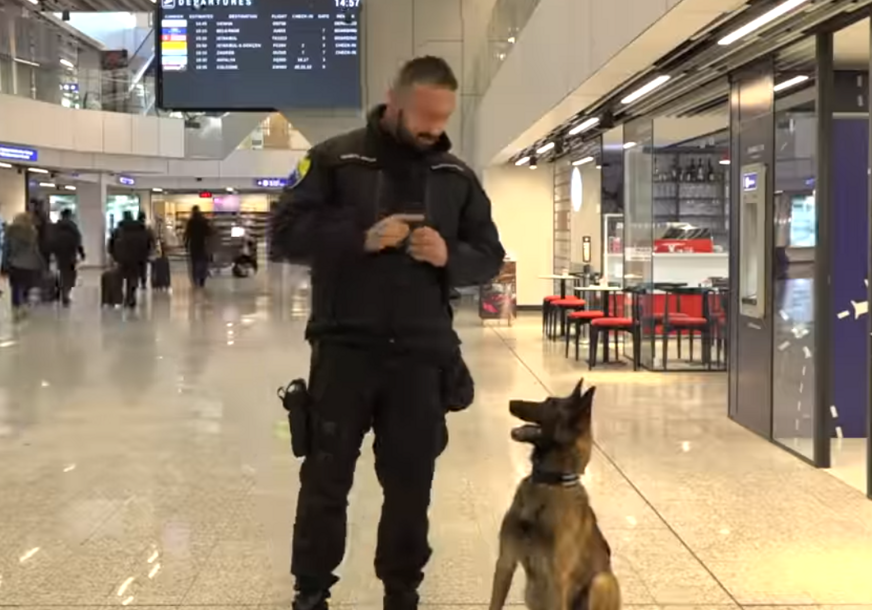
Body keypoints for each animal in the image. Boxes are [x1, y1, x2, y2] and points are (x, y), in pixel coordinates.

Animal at [484, 378, 620, 608]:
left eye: (550, 404)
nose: (511, 402)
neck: (549, 481)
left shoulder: (557, 581)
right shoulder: (505, 562)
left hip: (601, 582)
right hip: (532, 592)